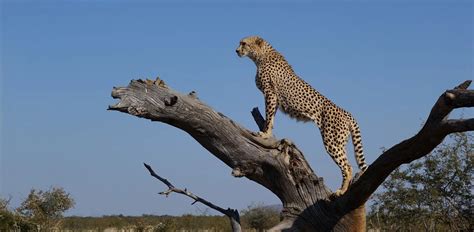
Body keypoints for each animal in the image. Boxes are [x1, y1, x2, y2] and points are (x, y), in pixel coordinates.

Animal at [235, 36, 368, 196]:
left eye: (244, 43)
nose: (236, 50)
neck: (260, 56)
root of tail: (347, 113)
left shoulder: (270, 93)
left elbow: (268, 116)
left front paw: (265, 134)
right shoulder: (275, 98)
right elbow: (271, 118)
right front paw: (268, 132)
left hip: (331, 141)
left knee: (347, 166)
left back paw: (341, 191)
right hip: (341, 142)